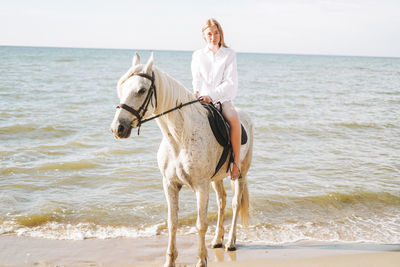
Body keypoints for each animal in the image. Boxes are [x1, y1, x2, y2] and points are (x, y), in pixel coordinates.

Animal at [109, 52, 253, 267]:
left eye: (141, 90)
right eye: (122, 87)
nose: (118, 128)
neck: (179, 139)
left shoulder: (201, 186)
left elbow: (201, 224)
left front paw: (201, 260)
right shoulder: (170, 184)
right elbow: (172, 223)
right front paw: (170, 260)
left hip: (240, 173)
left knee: (235, 204)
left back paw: (230, 242)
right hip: (216, 178)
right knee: (222, 201)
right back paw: (218, 240)